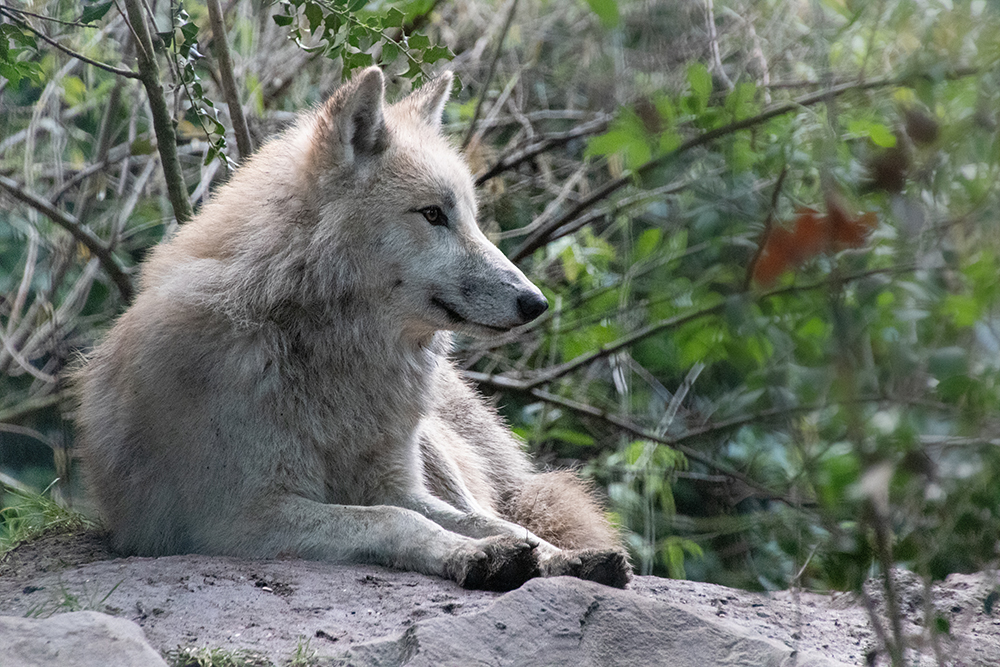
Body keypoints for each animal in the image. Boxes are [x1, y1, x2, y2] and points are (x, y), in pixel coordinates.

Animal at [74, 66, 628, 588]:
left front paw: (559, 558)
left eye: (471, 217)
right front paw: (476, 557)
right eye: (433, 214)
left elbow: (495, 524)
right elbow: (397, 520)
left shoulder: (396, 484)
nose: (536, 302)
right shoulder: (240, 518)